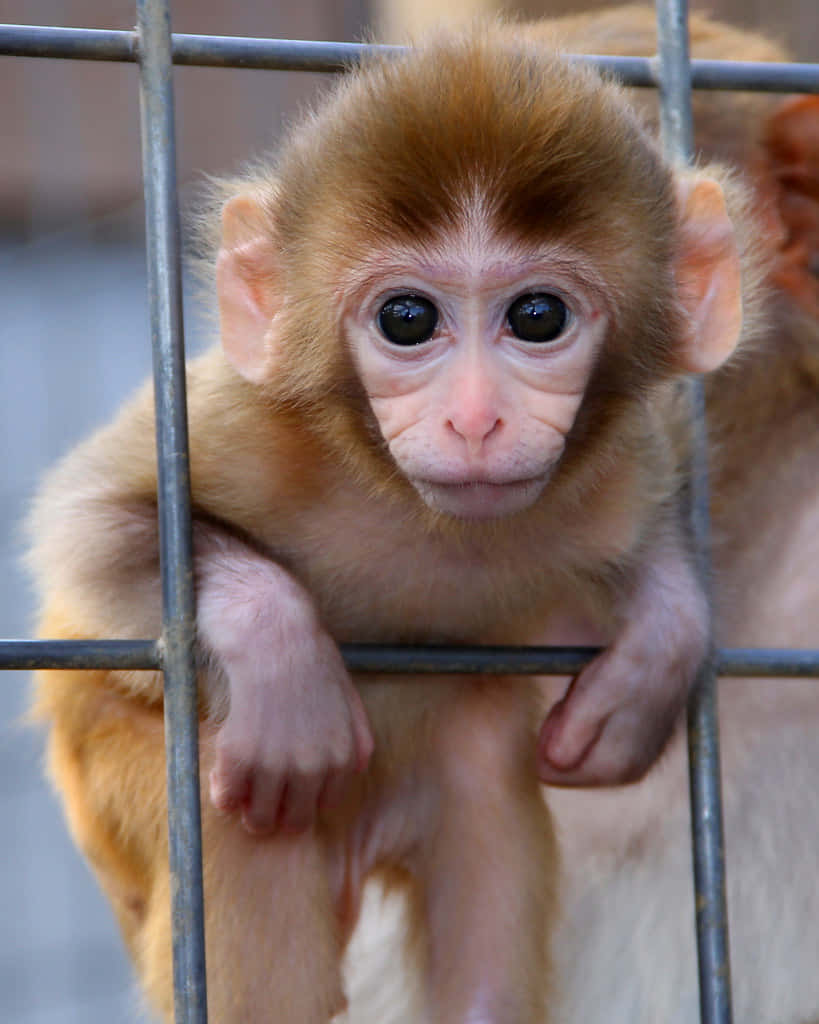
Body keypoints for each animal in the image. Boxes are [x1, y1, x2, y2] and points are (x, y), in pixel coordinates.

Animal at [27, 19, 763, 1024]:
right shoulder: (252, 422)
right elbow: (88, 528)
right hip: (119, 788)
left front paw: (657, 648)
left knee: (480, 774)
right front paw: (280, 656)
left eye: (538, 316)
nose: (476, 419)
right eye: (407, 319)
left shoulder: (617, 470)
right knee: (236, 838)